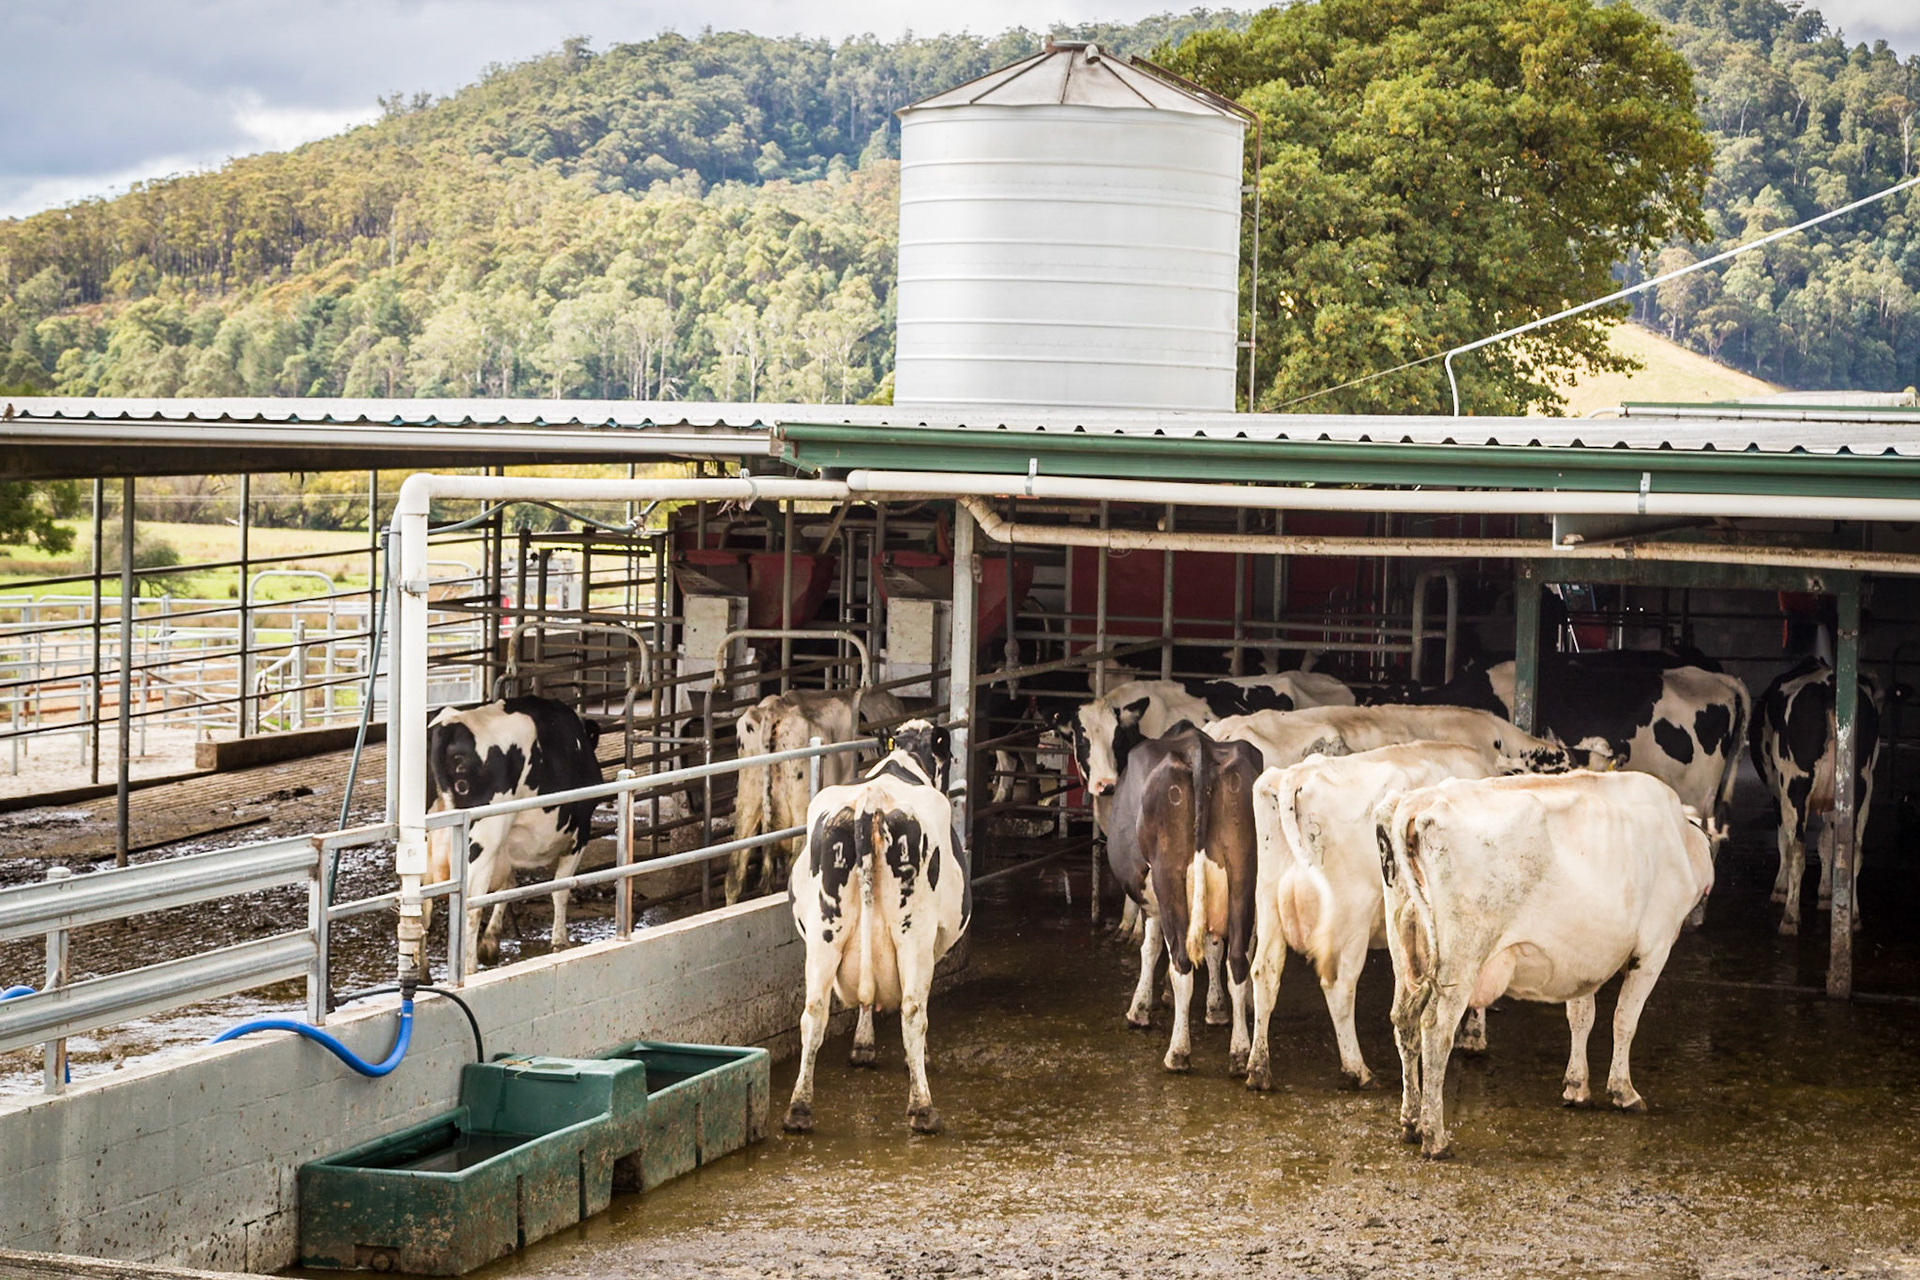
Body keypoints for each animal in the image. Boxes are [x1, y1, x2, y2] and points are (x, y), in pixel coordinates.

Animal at [425, 697, 604, 974]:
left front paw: (490, 943)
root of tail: (448, 724)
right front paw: (560, 940)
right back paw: (469, 969)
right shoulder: (580, 832)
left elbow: (507, 887)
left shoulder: (506, 848)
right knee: (470, 907)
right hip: (482, 841)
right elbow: (560, 888)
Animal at [784, 720, 968, 1136]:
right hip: (912, 936)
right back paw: (922, 1109)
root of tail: (871, 802)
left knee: (813, 1012)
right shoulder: (934, 942)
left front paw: (862, 1046)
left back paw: (799, 1109)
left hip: (823, 936)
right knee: (913, 1011)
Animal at [1103, 723, 1264, 1074]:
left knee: (1181, 962)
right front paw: (1216, 1009)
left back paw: (1178, 1052)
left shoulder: (1152, 902)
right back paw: (1240, 1051)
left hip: (1169, 878)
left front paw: (1140, 1009)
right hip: (1244, 875)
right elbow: (1214, 949)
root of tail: (1199, 749)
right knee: (1237, 961)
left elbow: (1149, 949)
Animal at [1377, 771, 1713, 1159]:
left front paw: (1577, 1087)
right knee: (1435, 1029)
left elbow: (1581, 1016)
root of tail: (1419, 800)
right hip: (1460, 959)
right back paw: (1435, 1137)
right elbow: (1624, 1021)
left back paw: (1410, 1121)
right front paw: (1623, 1092)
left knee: (1404, 1023)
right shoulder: (1653, 949)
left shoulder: (1581, 954)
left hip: (1404, 953)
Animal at [1750, 657, 1885, 936]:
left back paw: (1790, 918)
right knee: (1855, 850)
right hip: (1863, 786)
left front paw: (1780, 888)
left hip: (1795, 784)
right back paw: (1853, 916)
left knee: (1797, 850)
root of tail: (1830, 684)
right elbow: (1827, 843)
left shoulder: (1779, 794)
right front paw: (1826, 893)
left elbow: (1785, 842)